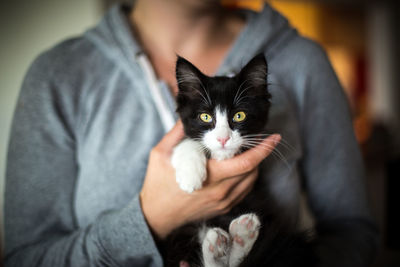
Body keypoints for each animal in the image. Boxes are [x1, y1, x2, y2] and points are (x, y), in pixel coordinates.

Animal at [164, 55, 318, 267]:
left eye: (239, 115)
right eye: (205, 117)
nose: (223, 139)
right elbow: (186, 141)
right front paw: (190, 177)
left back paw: (240, 234)